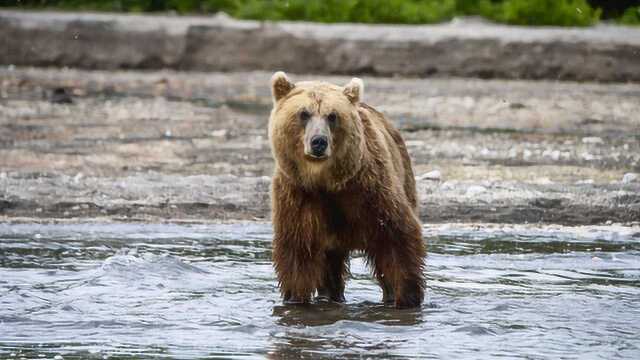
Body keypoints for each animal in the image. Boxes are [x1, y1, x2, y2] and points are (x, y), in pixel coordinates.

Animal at [268, 71, 424, 308]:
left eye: (332, 116)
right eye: (304, 113)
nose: (319, 142)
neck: (327, 181)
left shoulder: (371, 190)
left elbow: (396, 238)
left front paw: (406, 297)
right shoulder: (299, 195)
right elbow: (298, 252)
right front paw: (296, 299)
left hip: (403, 175)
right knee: (329, 266)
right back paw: (329, 296)